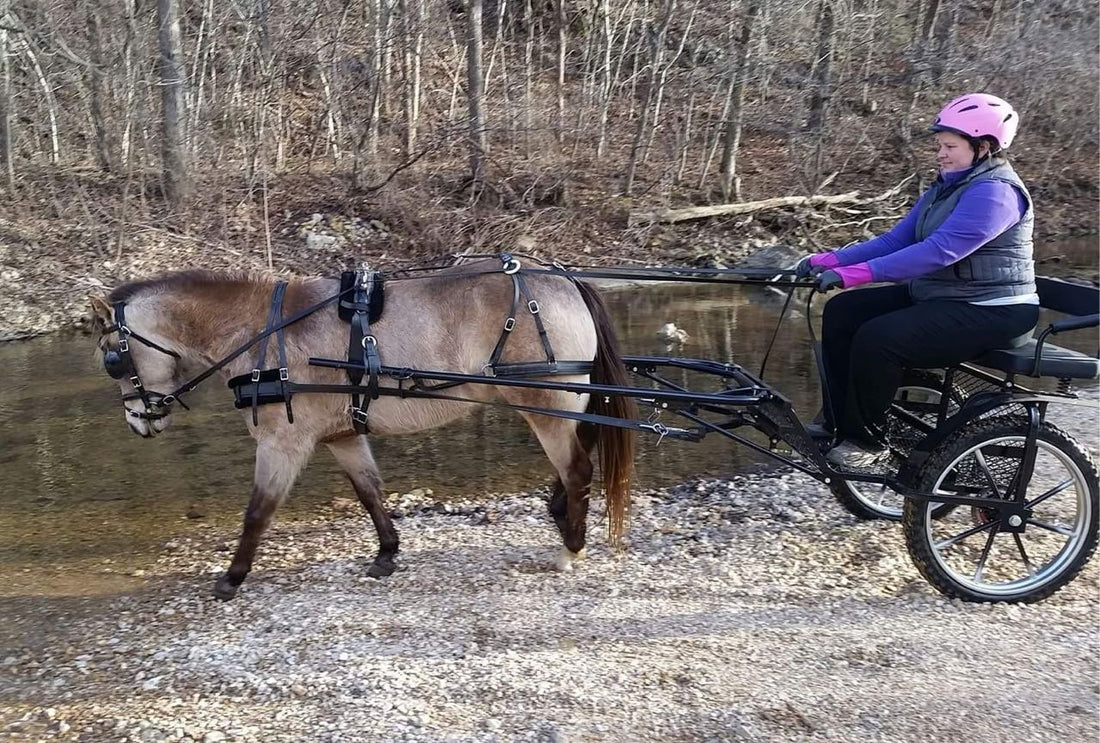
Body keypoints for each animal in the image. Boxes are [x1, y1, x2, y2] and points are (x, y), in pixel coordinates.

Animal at [88, 259, 636, 600]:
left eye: (113, 358)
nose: (138, 421)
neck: (262, 333)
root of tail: (568, 281)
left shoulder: (282, 442)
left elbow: (258, 512)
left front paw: (232, 577)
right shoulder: (343, 435)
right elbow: (370, 493)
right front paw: (387, 554)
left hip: (547, 407)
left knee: (578, 468)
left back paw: (570, 547)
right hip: (569, 405)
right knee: (581, 454)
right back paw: (560, 516)